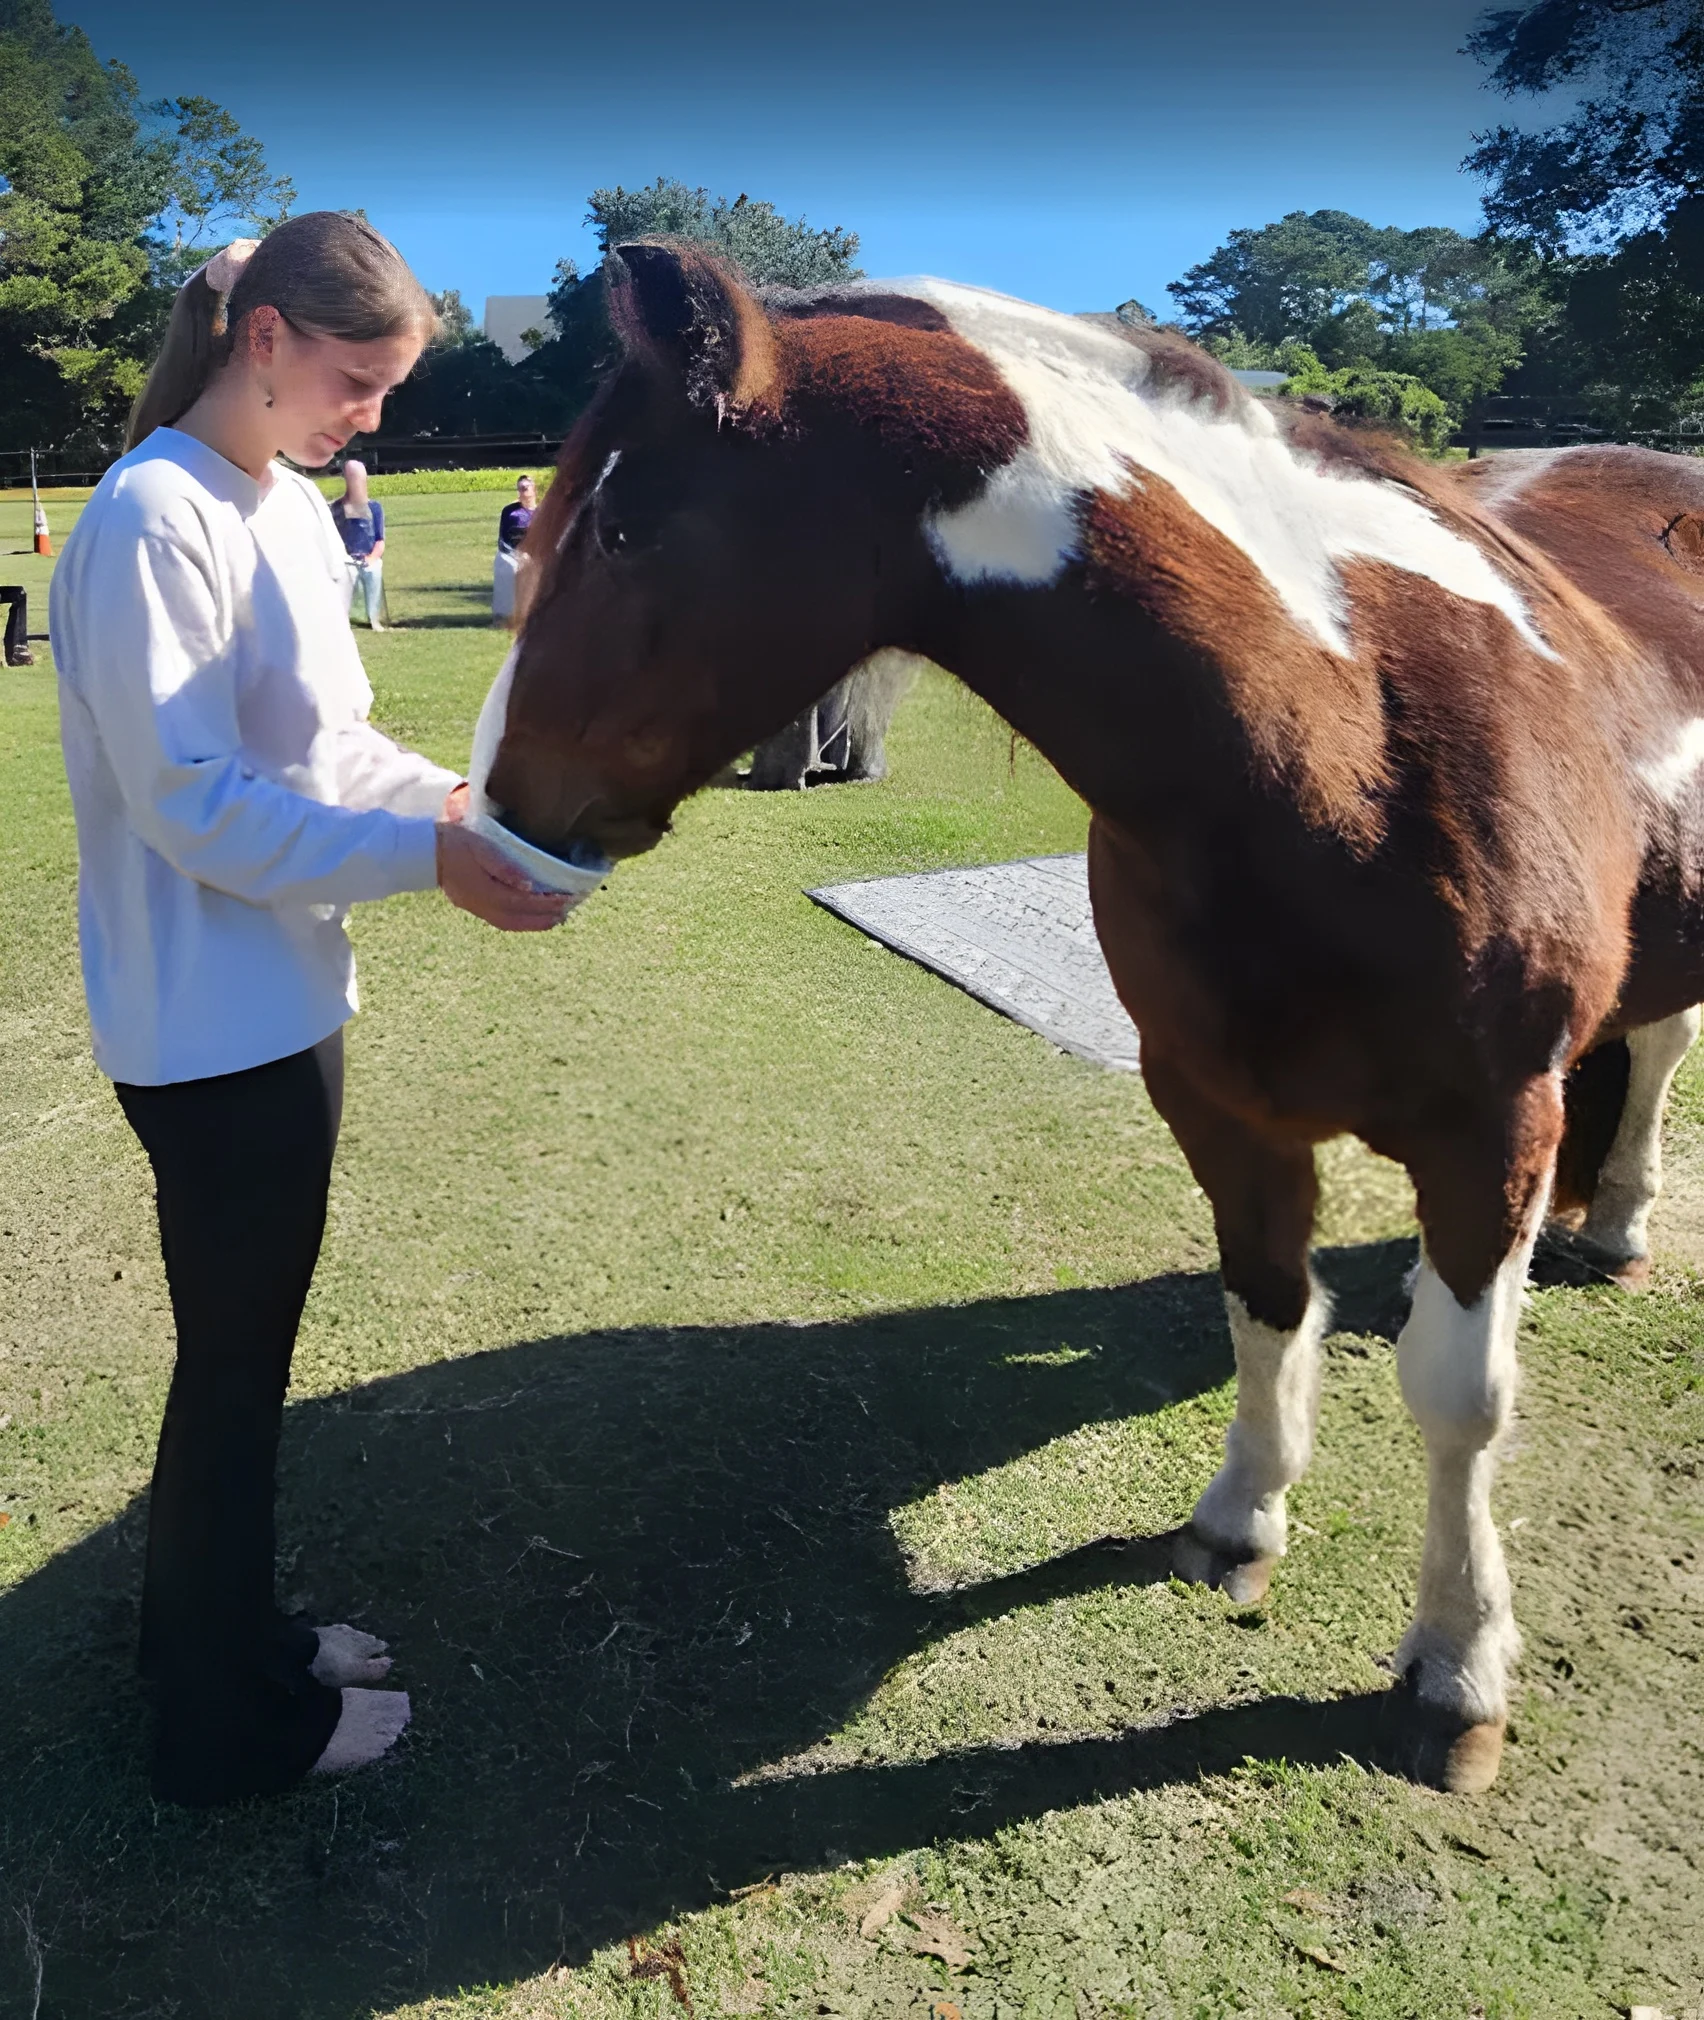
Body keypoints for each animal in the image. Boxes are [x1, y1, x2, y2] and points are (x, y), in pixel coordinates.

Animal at [483, 240, 1704, 1794]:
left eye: (628, 529)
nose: (505, 806)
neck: (1344, 750)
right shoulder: (1215, 1101)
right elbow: (1264, 1301)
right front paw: (1242, 1521)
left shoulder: (1491, 1127)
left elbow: (1459, 1398)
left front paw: (1458, 1670)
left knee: (1656, 1052)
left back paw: (1619, 1223)